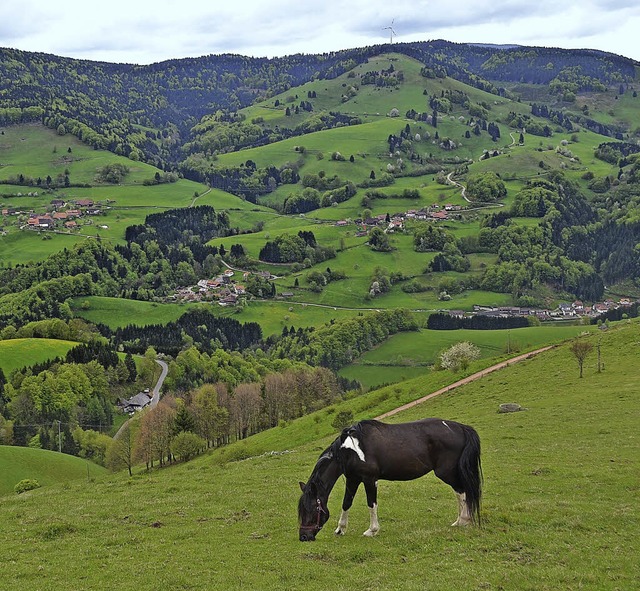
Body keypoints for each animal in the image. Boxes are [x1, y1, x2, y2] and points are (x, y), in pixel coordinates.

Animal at [298, 416, 482, 540]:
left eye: (312, 508)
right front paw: (340, 529)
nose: (304, 537)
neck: (350, 451)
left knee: (462, 492)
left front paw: (372, 530)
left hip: (446, 472)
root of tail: (460, 427)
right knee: (461, 493)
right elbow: (346, 503)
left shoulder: (369, 480)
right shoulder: (352, 479)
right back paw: (459, 521)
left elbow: (371, 504)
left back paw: (463, 521)